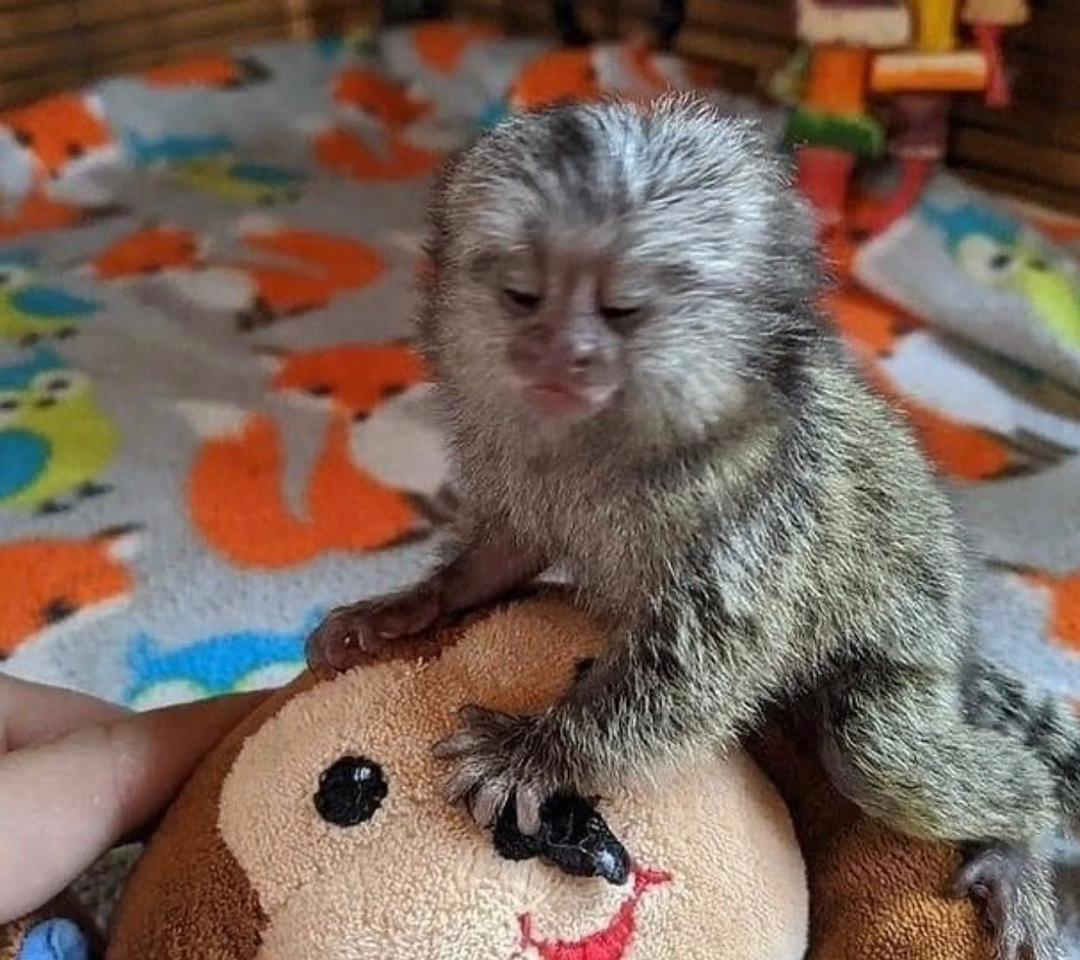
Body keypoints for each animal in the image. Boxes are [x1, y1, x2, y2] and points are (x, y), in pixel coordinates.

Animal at [306, 95, 1079, 959]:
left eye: (623, 310)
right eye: (523, 296)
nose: (562, 352)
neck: (608, 442)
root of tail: (959, 653)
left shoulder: (757, 512)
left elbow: (701, 667)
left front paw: (537, 753)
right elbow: (507, 547)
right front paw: (409, 607)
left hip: (906, 669)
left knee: (879, 750)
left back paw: (1019, 840)